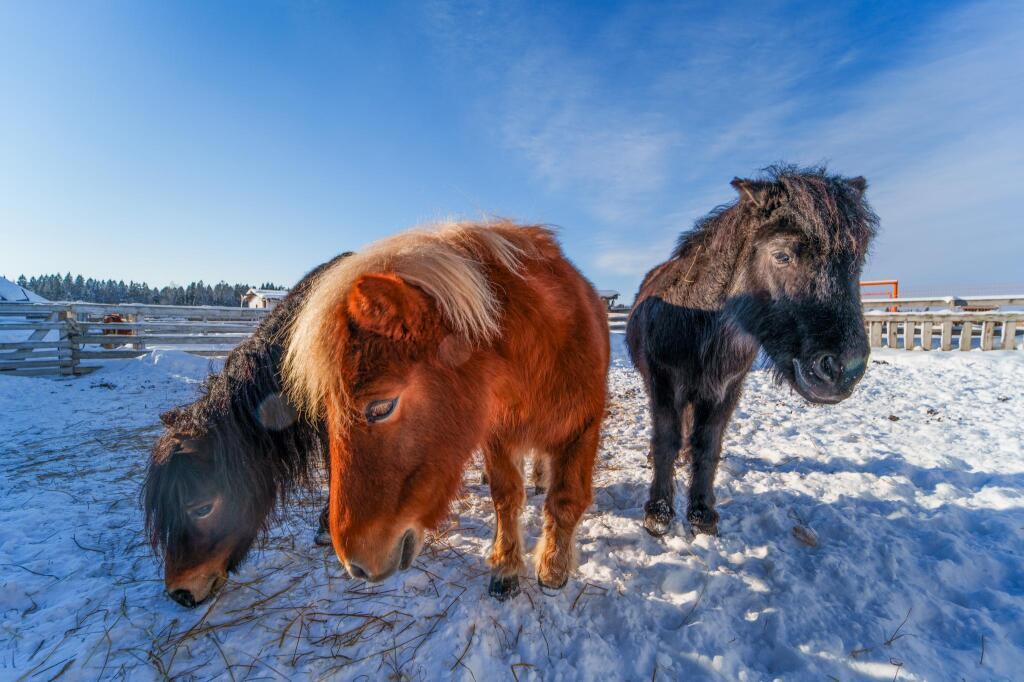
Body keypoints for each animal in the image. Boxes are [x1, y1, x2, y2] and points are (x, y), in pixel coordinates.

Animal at [282, 220, 606, 598]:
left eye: (381, 406)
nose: (356, 566)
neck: (541, 352)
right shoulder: (497, 436)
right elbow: (506, 497)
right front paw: (507, 567)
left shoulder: (582, 429)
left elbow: (565, 500)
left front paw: (553, 568)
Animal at [622, 165, 880, 536]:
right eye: (782, 255)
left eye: (856, 262)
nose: (845, 368)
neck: (699, 323)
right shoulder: (664, 383)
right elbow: (666, 440)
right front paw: (658, 513)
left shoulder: (727, 389)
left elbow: (708, 444)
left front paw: (702, 513)